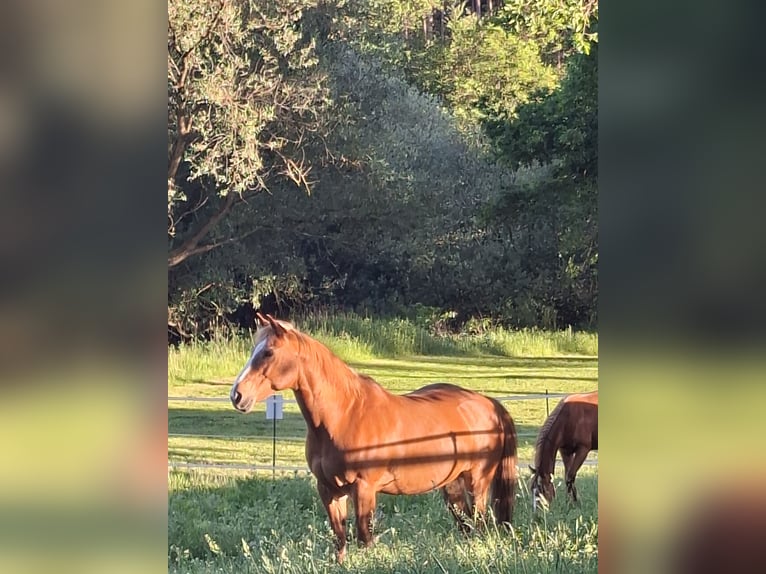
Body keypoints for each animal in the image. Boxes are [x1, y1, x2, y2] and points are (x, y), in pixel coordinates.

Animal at [230, 313, 518, 563]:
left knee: (480, 525)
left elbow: (364, 539)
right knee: (467, 527)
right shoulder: (329, 490)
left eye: (268, 352)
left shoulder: (364, 489)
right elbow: (340, 541)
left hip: (477, 481)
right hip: (453, 485)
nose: (237, 395)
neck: (345, 415)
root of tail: (489, 404)